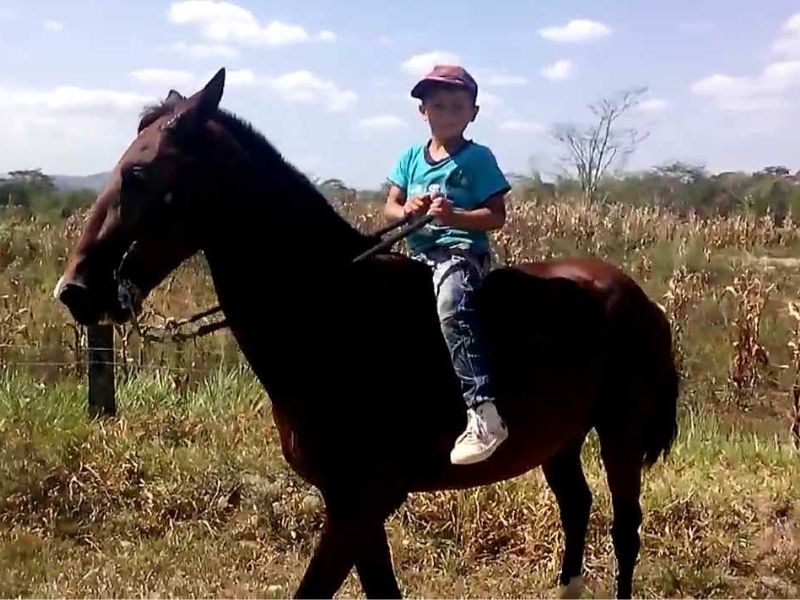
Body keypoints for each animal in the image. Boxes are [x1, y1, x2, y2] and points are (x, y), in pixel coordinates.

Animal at [56, 68, 680, 596]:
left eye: (138, 172)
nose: (75, 290)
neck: (335, 313)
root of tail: (637, 296)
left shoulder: (359, 503)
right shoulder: (354, 507)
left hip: (620, 435)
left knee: (625, 531)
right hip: (560, 438)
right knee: (576, 507)